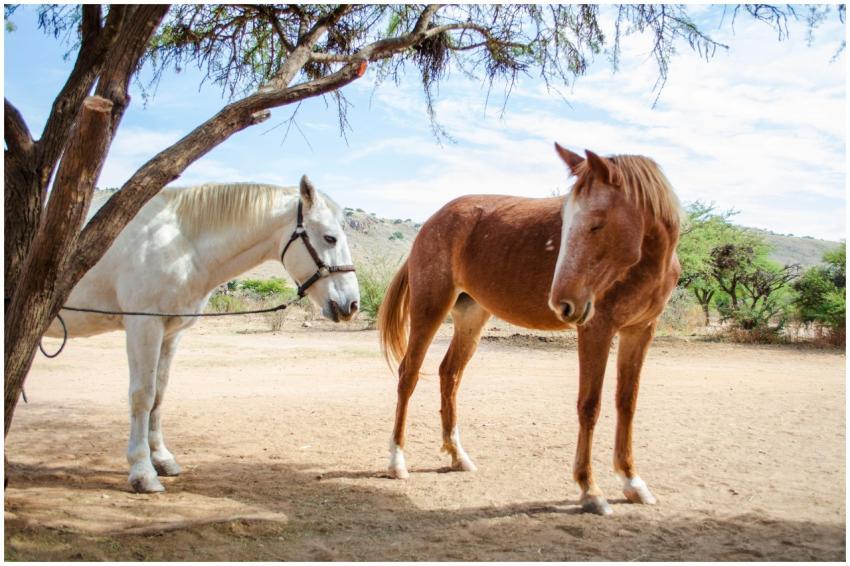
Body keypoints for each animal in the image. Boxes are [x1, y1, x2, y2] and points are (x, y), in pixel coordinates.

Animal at [44, 176, 360, 493]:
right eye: (330, 238)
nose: (352, 304)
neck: (180, 242)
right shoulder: (143, 326)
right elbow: (143, 396)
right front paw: (143, 471)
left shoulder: (170, 334)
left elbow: (159, 394)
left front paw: (162, 459)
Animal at [378, 144, 681, 515]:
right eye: (565, 222)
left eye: (597, 223)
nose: (562, 302)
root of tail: (432, 221)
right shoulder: (597, 329)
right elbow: (589, 405)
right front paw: (589, 489)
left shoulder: (640, 331)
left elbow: (627, 403)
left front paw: (632, 481)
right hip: (429, 308)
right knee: (408, 374)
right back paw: (397, 461)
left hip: (471, 316)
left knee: (449, 373)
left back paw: (457, 455)